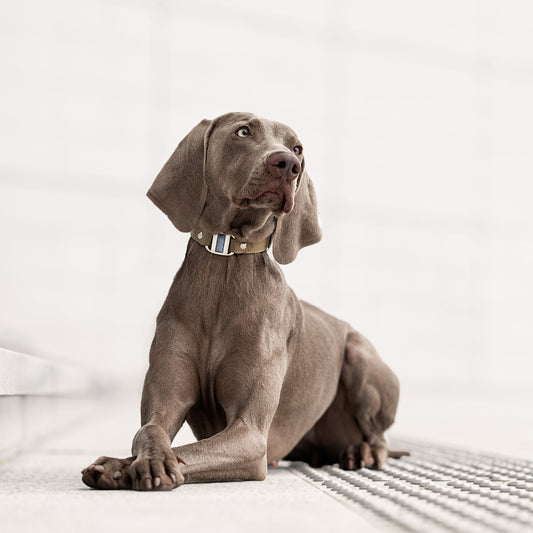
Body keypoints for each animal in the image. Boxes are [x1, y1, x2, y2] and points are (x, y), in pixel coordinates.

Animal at [81, 112, 402, 490]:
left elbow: (191, 451)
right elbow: (148, 431)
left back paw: (362, 452)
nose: (288, 164)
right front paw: (124, 464)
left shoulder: (250, 435)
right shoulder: (166, 401)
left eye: (297, 147)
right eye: (244, 131)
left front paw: (147, 465)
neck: (226, 261)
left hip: (360, 357)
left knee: (378, 437)